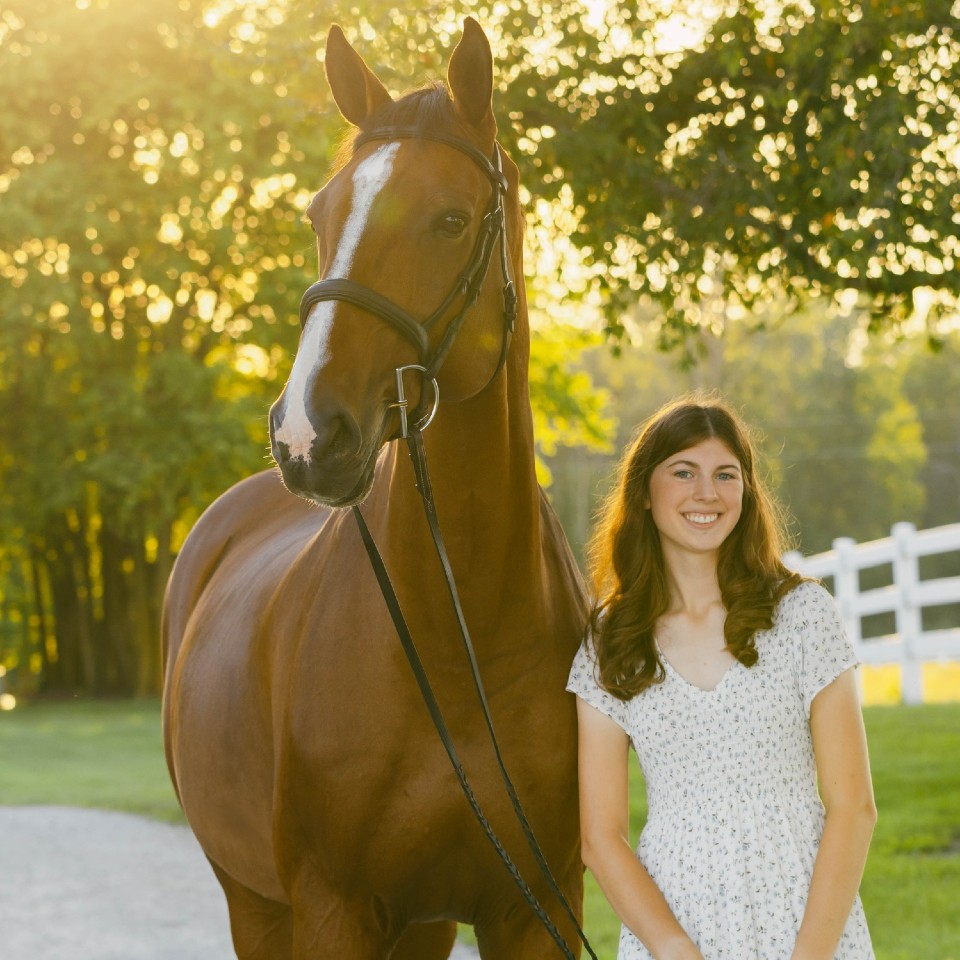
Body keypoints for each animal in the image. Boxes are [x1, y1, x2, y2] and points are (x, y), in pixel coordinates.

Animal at [162, 16, 588, 960]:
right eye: (320, 213)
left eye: (451, 219)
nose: (306, 435)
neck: (461, 633)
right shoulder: (333, 907)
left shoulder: (533, 905)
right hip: (256, 905)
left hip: (422, 924)